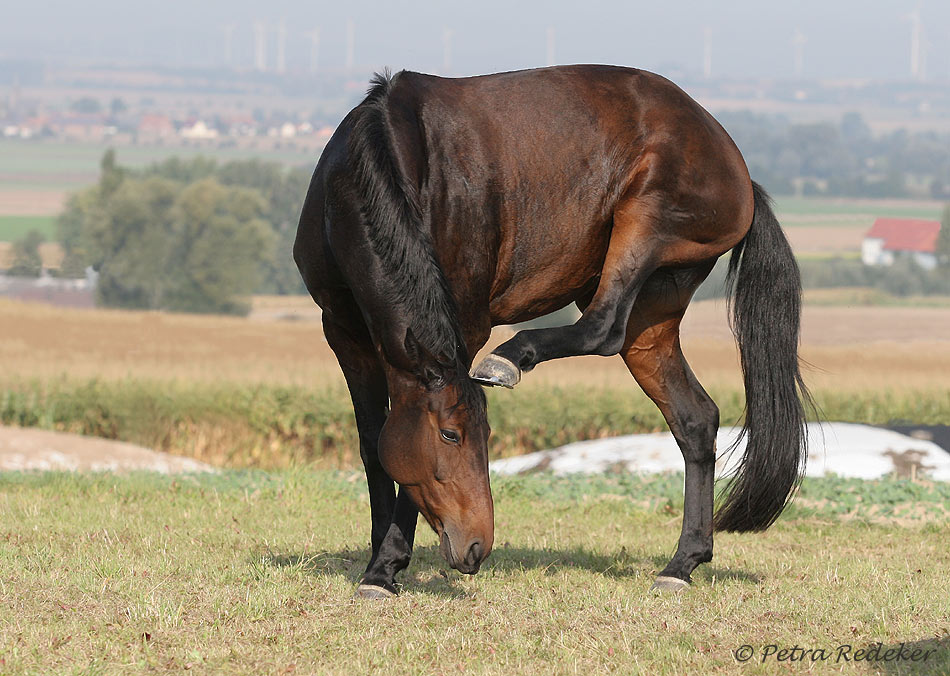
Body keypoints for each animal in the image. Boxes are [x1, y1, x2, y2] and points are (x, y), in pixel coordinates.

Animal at [292, 66, 812, 600]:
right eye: (451, 434)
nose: (477, 544)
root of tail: (738, 170)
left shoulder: (466, 321)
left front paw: (386, 565)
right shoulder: (344, 332)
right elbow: (375, 446)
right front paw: (381, 561)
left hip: (644, 220)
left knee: (604, 328)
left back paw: (509, 358)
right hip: (654, 315)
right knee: (695, 418)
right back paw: (682, 563)